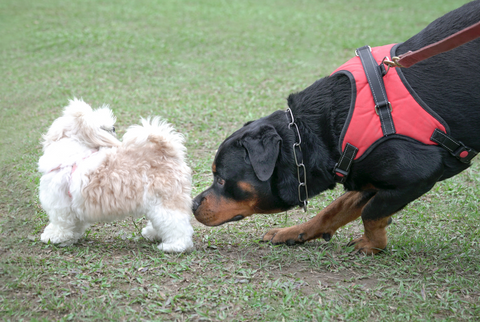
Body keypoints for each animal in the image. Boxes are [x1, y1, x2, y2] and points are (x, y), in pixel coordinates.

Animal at [37, 98, 194, 252]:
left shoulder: (60, 207)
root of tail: (167, 153)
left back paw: (173, 246)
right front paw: (71, 238)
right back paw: (152, 234)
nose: (113, 128)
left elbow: (60, 225)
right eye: (103, 127)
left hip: (164, 203)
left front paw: (54, 237)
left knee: (176, 225)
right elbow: (76, 224)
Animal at [193, 0, 480, 254]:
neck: (313, 135)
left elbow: (370, 212)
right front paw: (293, 232)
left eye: (221, 179)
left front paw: (373, 245)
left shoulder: (420, 172)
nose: (193, 203)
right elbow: (335, 209)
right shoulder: (360, 170)